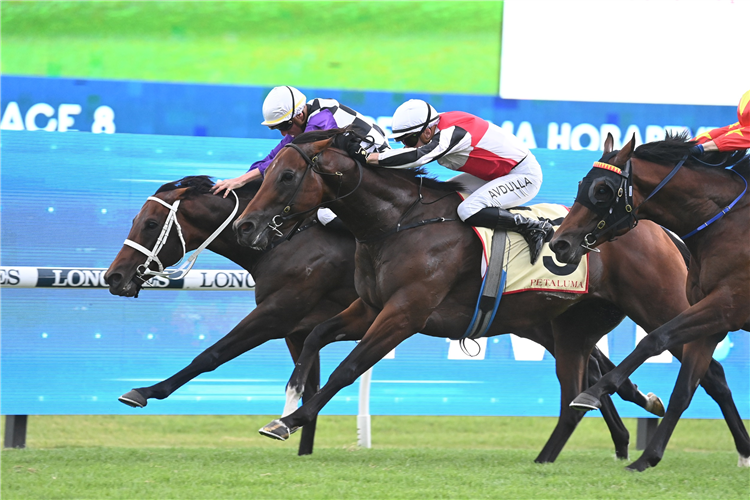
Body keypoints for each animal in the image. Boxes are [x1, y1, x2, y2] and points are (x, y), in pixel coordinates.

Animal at [106, 177, 362, 458]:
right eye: (134, 220)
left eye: (151, 224)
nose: (113, 276)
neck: (285, 241)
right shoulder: (298, 331)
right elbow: (308, 387)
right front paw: (300, 448)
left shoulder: (276, 314)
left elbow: (211, 355)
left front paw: (144, 391)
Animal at [232, 129, 748, 464]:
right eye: (269, 172)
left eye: (286, 176)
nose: (247, 226)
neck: (396, 222)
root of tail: (659, 230)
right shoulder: (370, 306)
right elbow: (316, 334)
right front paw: (291, 396)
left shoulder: (405, 313)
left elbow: (349, 367)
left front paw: (290, 421)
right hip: (573, 326)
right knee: (577, 393)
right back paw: (553, 454)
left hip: (662, 304)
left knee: (709, 373)